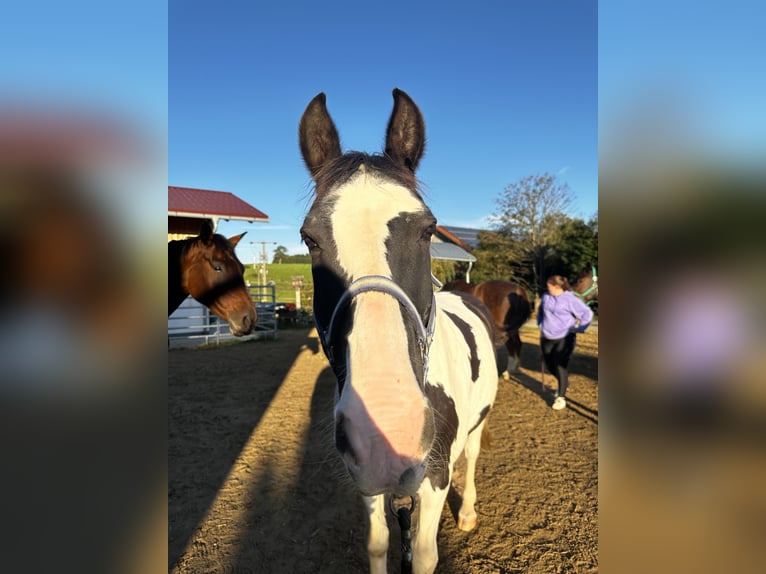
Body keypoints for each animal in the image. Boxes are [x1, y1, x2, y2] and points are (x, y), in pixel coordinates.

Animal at [296, 88, 500, 572]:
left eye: (428, 230)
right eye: (310, 239)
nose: (388, 428)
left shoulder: (435, 478)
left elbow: (424, 553)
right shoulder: (366, 478)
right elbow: (378, 542)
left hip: (479, 422)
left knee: (473, 455)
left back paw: (468, 512)